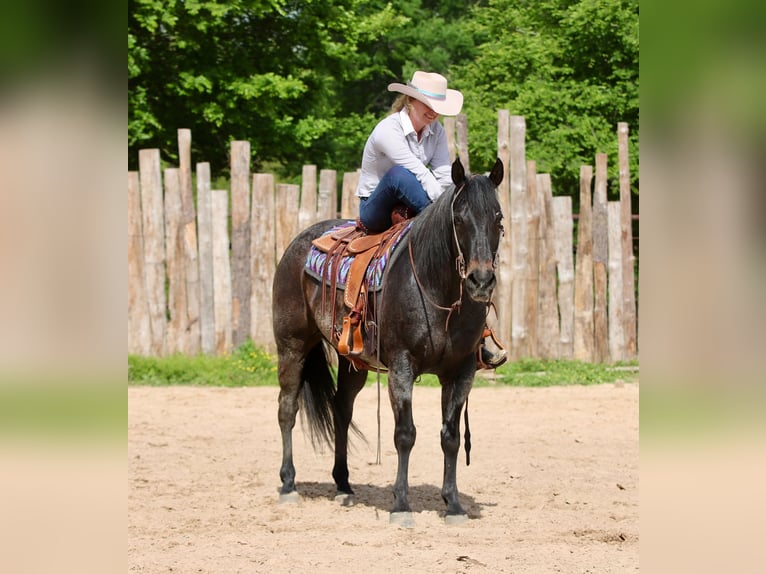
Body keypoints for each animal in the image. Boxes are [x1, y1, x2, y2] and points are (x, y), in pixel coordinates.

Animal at [272, 157, 504, 526]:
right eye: (458, 219)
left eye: (498, 219)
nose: (480, 280)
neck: (434, 286)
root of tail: (299, 244)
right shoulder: (401, 366)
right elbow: (405, 434)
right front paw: (401, 505)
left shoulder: (462, 370)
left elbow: (451, 436)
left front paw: (453, 505)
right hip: (292, 345)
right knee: (287, 409)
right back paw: (288, 484)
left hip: (352, 361)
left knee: (341, 409)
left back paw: (343, 485)